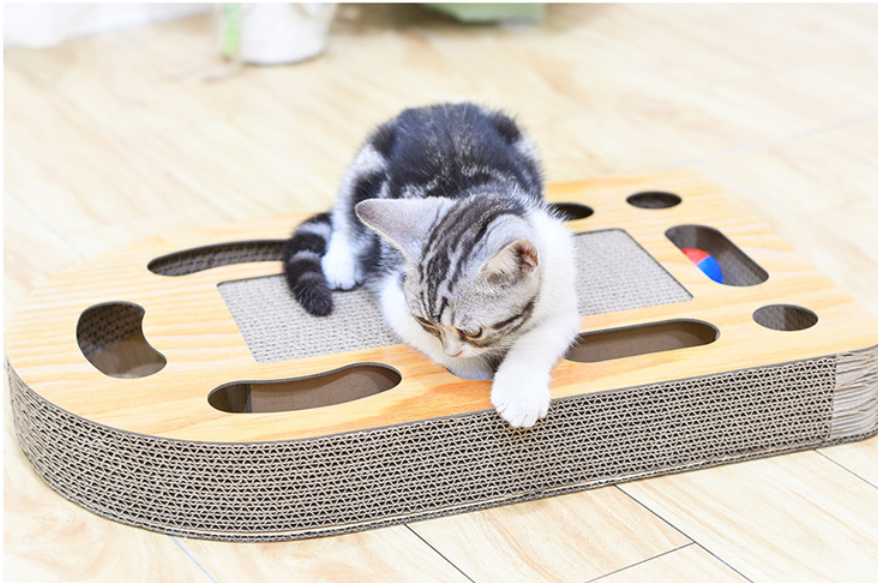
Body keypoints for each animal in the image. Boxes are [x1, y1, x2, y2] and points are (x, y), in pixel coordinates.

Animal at [286, 102, 580, 428]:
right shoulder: (395, 297)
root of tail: (436, 107)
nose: (454, 349)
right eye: (426, 322)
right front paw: (473, 372)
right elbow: (436, 348)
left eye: (474, 331)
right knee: (344, 218)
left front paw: (520, 393)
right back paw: (341, 263)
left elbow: (538, 341)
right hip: (364, 169)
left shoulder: (563, 297)